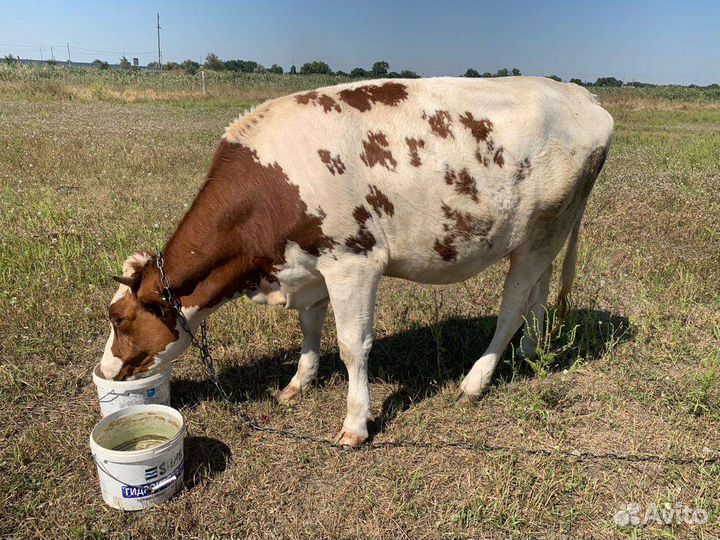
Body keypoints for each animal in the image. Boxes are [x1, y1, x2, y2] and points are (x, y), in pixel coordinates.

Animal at [101, 76, 613, 446]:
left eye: (120, 318)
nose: (106, 371)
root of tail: (582, 96)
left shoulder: (354, 261)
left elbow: (352, 345)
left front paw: (355, 425)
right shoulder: (307, 265)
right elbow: (309, 326)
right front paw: (298, 383)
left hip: (544, 229)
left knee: (511, 308)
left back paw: (475, 382)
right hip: (540, 236)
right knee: (539, 291)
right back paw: (531, 351)